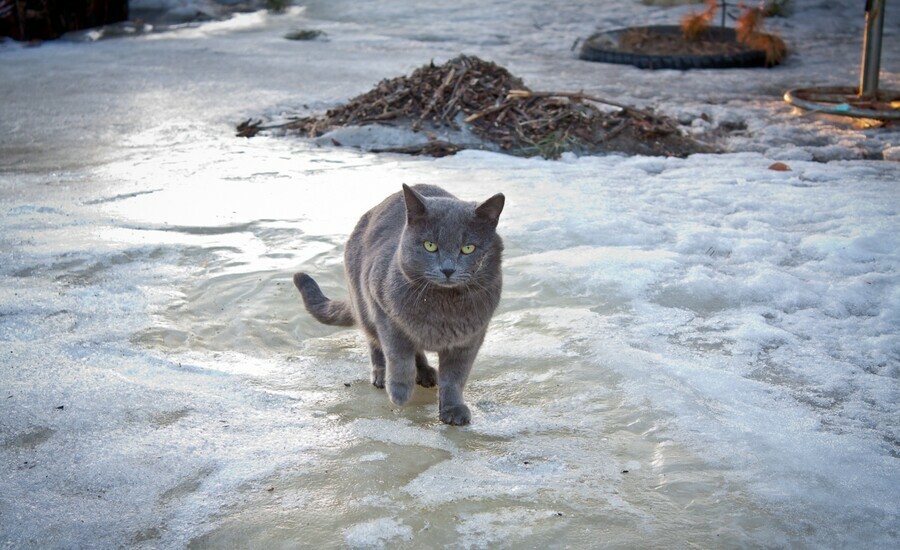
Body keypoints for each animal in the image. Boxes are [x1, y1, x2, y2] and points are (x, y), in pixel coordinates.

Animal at [296, 185, 506, 426]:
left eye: (468, 248)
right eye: (430, 246)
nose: (448, 269)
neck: (442, 307)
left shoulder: (470, 337)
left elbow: (455, 377)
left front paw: (453, 410)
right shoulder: (385, 313)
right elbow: (398, 355)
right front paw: (399, 391)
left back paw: (426, 374)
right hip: (363, 303)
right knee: (375, 342)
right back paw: (382, 374)